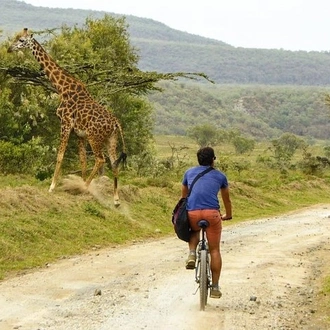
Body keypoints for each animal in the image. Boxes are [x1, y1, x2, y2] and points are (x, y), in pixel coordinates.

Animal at [7, 28, 127, 205]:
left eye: (21, 40)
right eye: (16, 37)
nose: (9, 49)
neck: (62, 88)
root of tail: (116, 123)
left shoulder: (65, 123)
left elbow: (60, 155)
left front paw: (53, 187)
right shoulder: (79, 133)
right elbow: (82, 159)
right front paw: (78, 183)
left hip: (95, 137)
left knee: (100, 159)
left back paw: (86, 186)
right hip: (111, 139)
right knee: (113, 162)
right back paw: (116, 199)